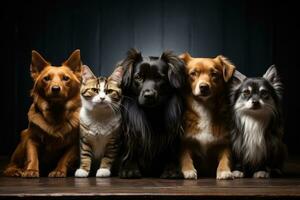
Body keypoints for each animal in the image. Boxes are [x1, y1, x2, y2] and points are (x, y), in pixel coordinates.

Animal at [3, 49, 82, 177]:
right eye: (46, 78)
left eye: (66, 78)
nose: (55, 88)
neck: (56, 111)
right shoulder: (31, 139)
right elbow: (32, 156)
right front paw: (31, 170)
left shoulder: (74, 144)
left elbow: (64, 158)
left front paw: (59, 170)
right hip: (23, 136)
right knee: (11, 165)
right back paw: (15, 170)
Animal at [119, 48, 185, 178]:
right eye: (138, 77)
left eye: (159, 78)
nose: (149, 95)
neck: (152, 113)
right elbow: (130, 147)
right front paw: (129, 168)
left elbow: (171, 150)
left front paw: (172, 170)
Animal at [179, 52, 236, 180]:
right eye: (193, 73)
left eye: (214, 74)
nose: (204, 87)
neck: (204, 107)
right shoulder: (185, 142)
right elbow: (185, 156)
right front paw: (188, 170)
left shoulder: (225, 143)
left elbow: (226, 158)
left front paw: (224, 171)